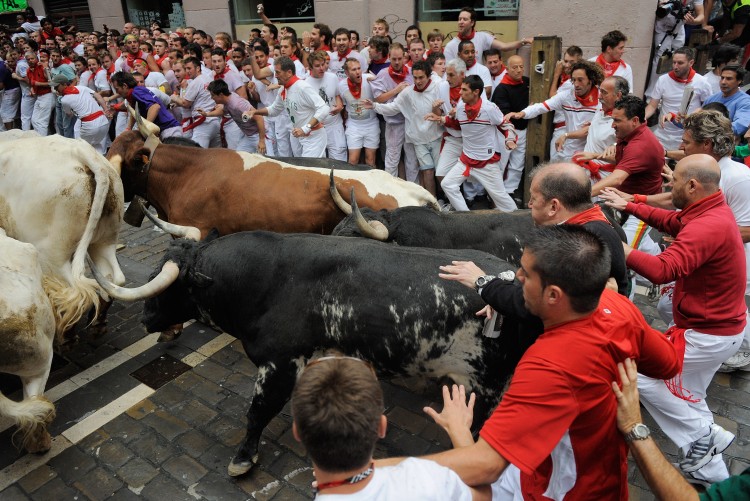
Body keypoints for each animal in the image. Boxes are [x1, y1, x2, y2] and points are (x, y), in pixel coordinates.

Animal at [0, 133, 126, 340]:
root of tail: (83, 153)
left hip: (51, 253)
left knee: (73, 290)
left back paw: (66, 336)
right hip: (105, 239)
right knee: (112, 279)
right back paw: (97, 323)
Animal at [142, 232, 536, 474]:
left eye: (169, 287)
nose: (145, 318)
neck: (266, 279)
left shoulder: (279, 363)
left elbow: (257, 412)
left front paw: (243, 456)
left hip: (489, 384)